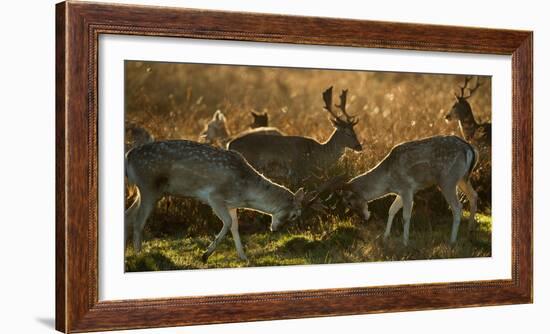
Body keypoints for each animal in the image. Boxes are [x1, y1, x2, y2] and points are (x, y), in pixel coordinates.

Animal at [125, 140, 332, 262]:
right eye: (296, 214)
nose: (276, 229)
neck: (245, 193)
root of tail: (128, 157)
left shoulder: (232, 204)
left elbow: (236, 226)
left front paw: (243, 257)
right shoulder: (214, 196)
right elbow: (228, 222)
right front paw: (205, 255)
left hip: (145, 190)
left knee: (128, 214)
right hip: (149, 186)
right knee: (138, 220)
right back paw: (140, 254)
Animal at [226, 86, 364, 183]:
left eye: (354, 131)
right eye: (346, 132)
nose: (359, 147)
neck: (318, 154)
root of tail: (229, 144)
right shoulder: (298, 171)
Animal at [342, 135, 480, 245]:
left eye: (349, 202)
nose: (364, 217)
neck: (388, 182)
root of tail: (469, 149)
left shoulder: (407, 188)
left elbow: (405, 215)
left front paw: (405, 242)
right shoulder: (402, 191)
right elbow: (391, 209)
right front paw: (385, 237)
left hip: (448, 180)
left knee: (457, 207)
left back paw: (452, 241)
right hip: (462, 178)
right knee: (474, 195)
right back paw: (470, 231)